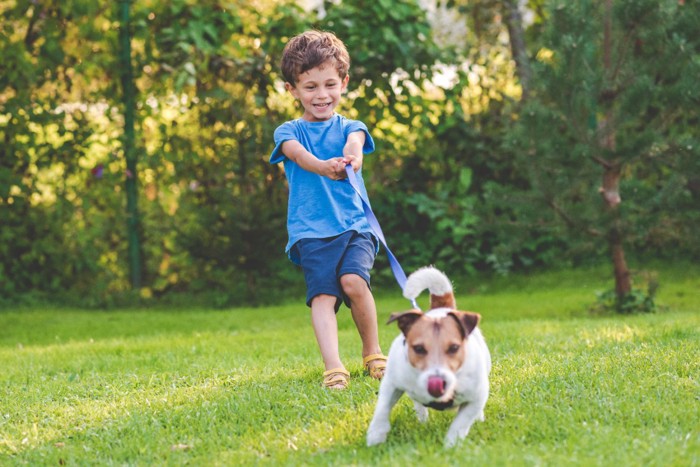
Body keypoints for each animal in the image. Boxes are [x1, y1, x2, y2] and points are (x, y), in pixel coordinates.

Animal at [366, 266, 492, 446]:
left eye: (454, 348)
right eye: (418, 348)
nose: (437, 381)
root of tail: (441, 308)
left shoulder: (476, 396)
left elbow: (461, 422)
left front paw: (451, 445)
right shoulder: (391, 383)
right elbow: (382, 408)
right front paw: (376, 437)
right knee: (418, 404)